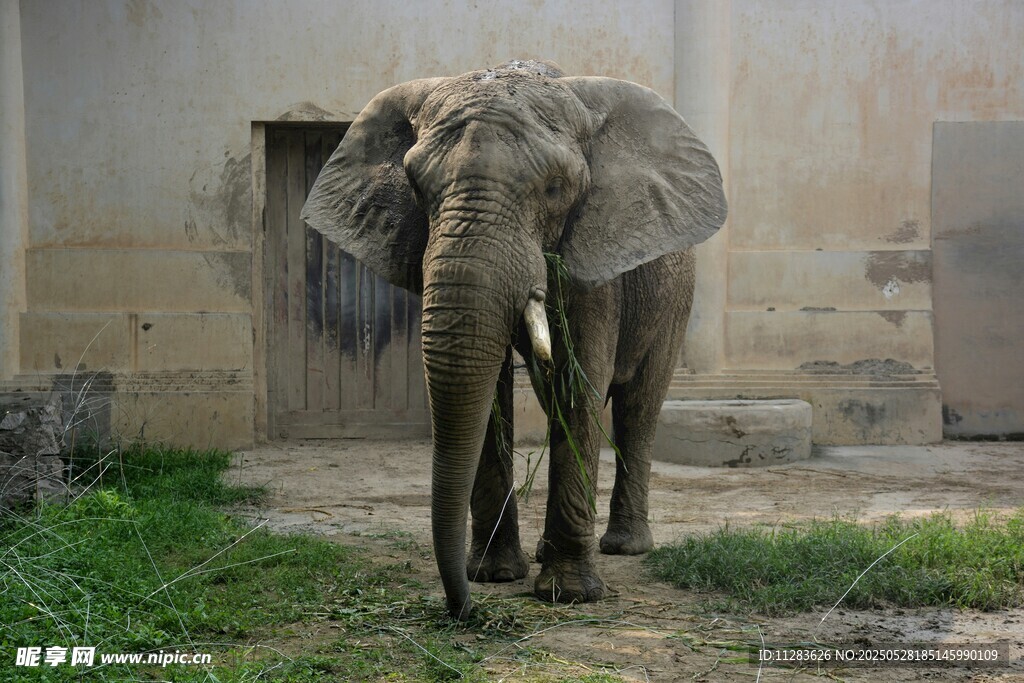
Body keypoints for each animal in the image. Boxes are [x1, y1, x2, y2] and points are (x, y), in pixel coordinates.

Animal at [301, 60, 726, 619]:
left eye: (555, 188)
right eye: (414, 185)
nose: (462, 609)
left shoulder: (593, 256)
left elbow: (579, 385)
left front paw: (568, 594)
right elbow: (491, 390)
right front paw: (495, 575)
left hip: (676, 298)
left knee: (639, 404)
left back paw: (624, 547)